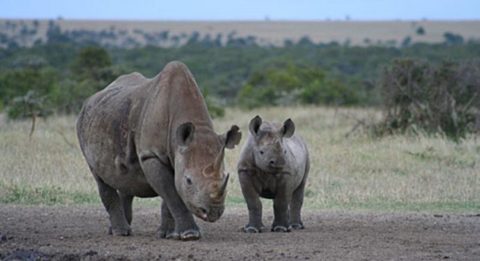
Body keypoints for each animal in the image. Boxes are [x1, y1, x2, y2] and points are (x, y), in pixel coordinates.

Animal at [77, 61, 242, 240]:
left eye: (224, 176)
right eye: (188, 181)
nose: (213, 212)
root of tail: (89, 100)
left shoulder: (176, 154)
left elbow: (169, 195)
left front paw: (168, 234)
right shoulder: (151, 155)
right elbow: (172, 194)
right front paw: (189, 235)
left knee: (124, 178)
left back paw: (119, 229)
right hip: (82, 123)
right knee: (100, 178)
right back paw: (121, 232)